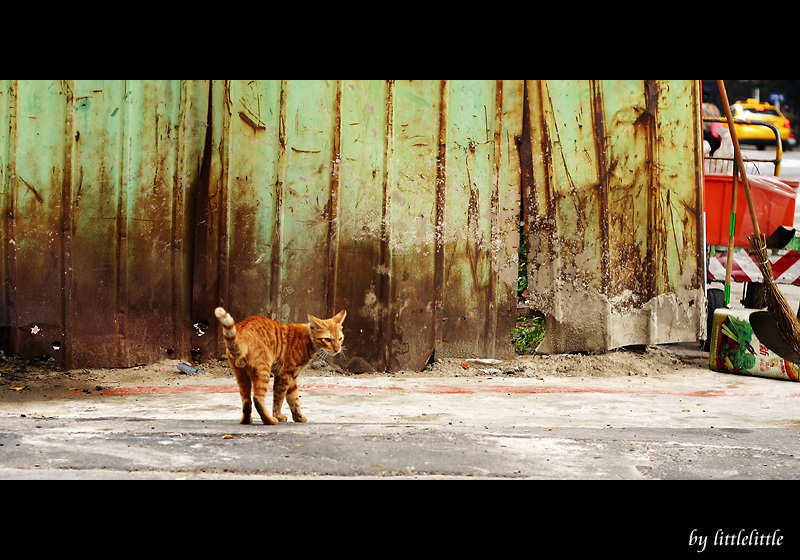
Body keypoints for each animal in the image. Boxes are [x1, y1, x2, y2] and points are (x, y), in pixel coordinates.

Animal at [214, 306, 346, 424]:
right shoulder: (285, 374)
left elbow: (294, 399)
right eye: (328, 339)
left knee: (246, 401)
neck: (307, 340)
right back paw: (270, 420)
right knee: (257, 398)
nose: (337, 349)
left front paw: (298, 417)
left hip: (241, 376)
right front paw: (278, 416)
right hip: (263, 372)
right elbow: (279, 398)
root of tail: (241, 330)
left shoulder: (292, 377)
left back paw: (246, 420)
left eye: (340, 338)